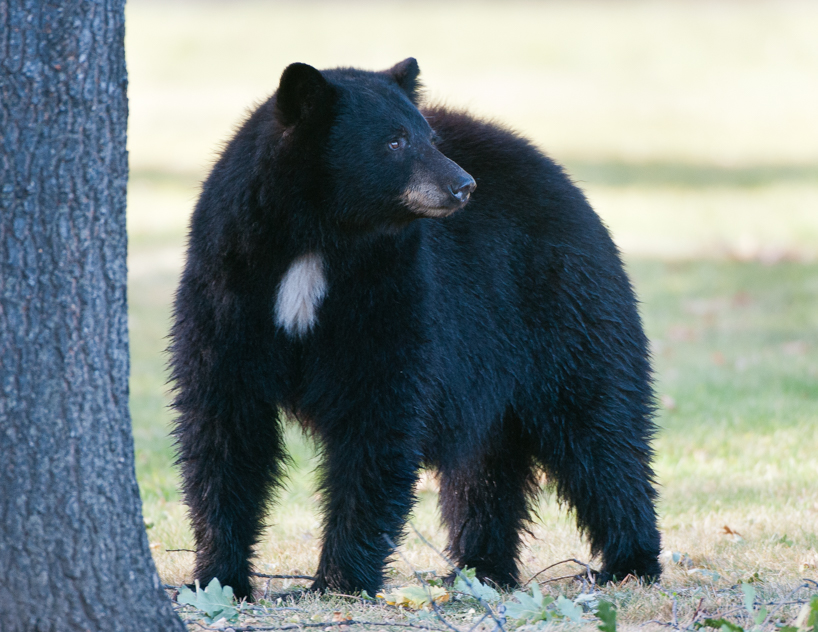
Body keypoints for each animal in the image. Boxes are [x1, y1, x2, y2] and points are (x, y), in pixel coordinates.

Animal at [169, 58, 662, 601]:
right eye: (395, 141)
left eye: (431, 137)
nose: (464, 185)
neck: (315, 239)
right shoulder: (229, 284)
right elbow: (226, 422)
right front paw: (217, 578)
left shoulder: (391, 287)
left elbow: (378, 414)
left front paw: (340, 581)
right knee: (485, 463)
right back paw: (481, 568)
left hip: (562, 305)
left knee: (598, 428)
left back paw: (628, 562)